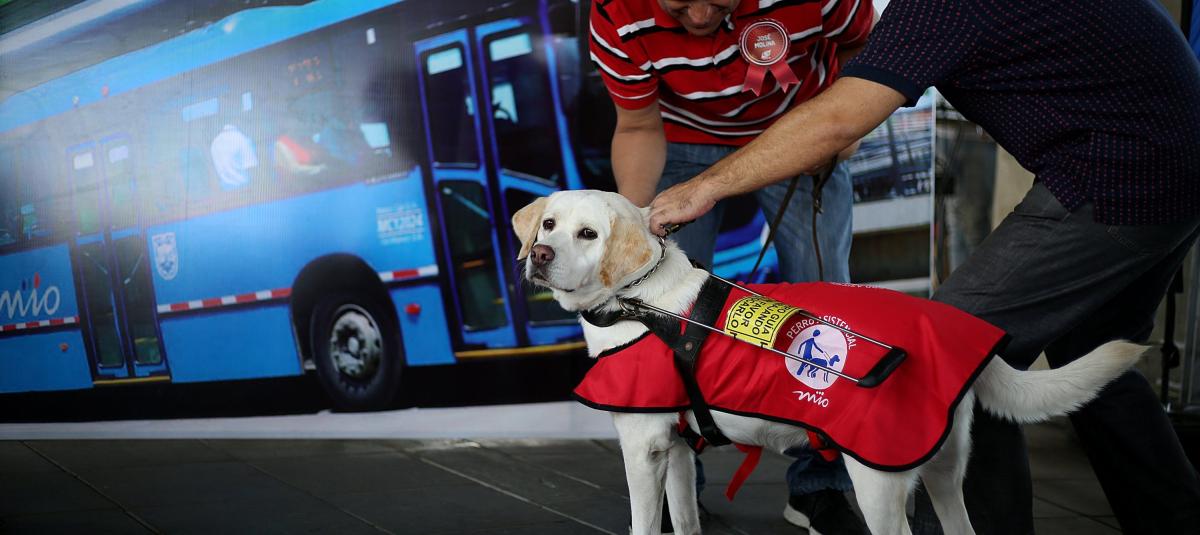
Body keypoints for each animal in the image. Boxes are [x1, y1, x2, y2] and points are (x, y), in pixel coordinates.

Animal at [512, 189, 1144, 535]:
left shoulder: (643, 449)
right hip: (943, 471)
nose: (538, 255)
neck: (638, 299)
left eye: (588, 234)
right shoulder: (678, 449)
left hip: (878, 480)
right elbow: (685, 521)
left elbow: (645, 523)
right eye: (549, 225)